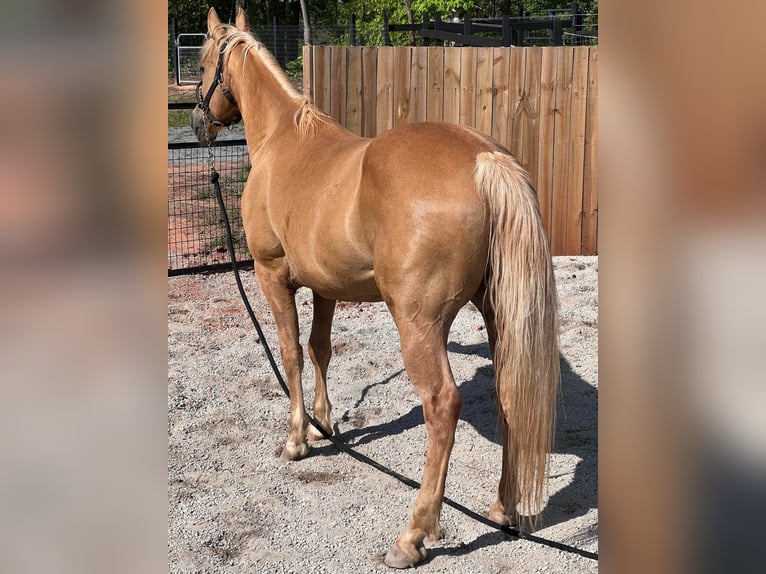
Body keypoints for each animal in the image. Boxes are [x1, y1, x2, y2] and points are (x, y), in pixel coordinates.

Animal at [192, 6, 560, 568]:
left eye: (200, 61)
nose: (197, 123)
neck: (283, 143)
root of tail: (485, 160)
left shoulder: (272, 274)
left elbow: (291, 352)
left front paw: (297, 439)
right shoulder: (325, 284)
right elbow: (320, 349)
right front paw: (325, 422)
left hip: (418, 324)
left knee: (442, 407)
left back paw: (412, 536)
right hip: (499, 314)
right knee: (509, 396)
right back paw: (502, 508)